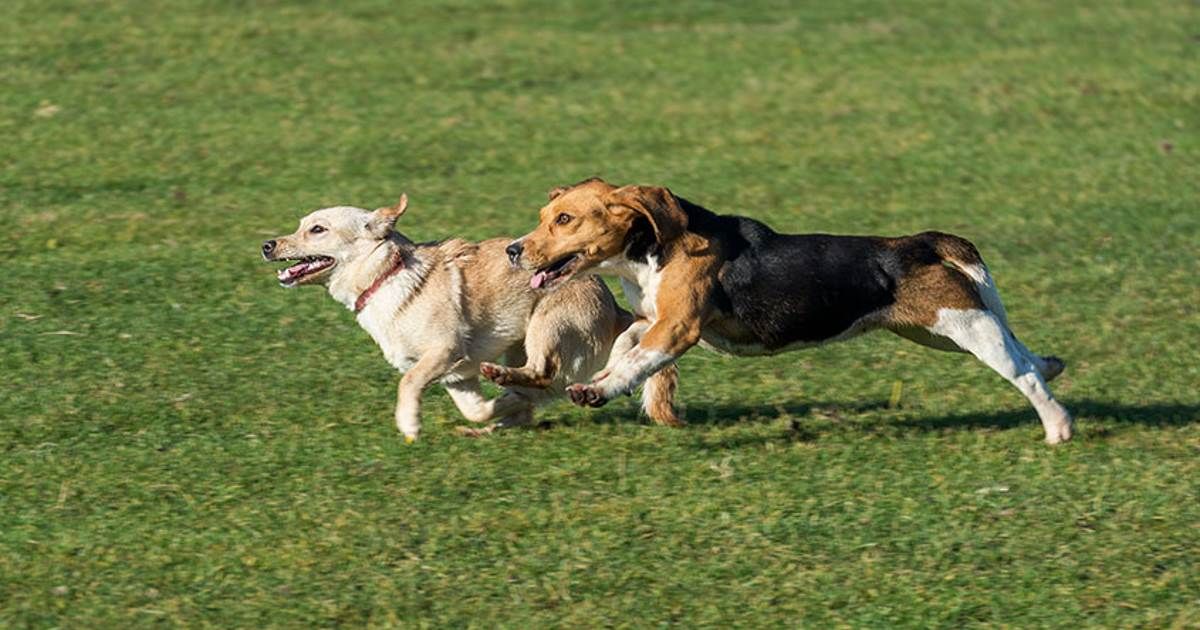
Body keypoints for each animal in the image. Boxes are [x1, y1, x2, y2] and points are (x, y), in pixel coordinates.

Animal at [261, 194, 681, 439]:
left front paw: (409, 424)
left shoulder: (443, 353)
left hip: (545, 326)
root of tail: (616, 309)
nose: (267, 245)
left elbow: (408, 384)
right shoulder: (456, 375)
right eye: (300, 226)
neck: (386, 275)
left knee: (544, 373)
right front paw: (499, 411)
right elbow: (476, 409)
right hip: (519, 344)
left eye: (317, 230)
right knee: (536, 387)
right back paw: (502, 413)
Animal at [501, 176, 1075, 441]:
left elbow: (636, 362)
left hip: (965, 327)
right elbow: (626, 344)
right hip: (938, 330)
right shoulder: (653, 321)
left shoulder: (678, 328)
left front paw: (597, 390)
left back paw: (1058, 429)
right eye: (545, 217)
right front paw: (607, 378)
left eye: (565, 220)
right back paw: (1053, 369)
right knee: (1029, 358)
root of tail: (917, 244)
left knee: (1024, 375)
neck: (649, 249)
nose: (513, 250)